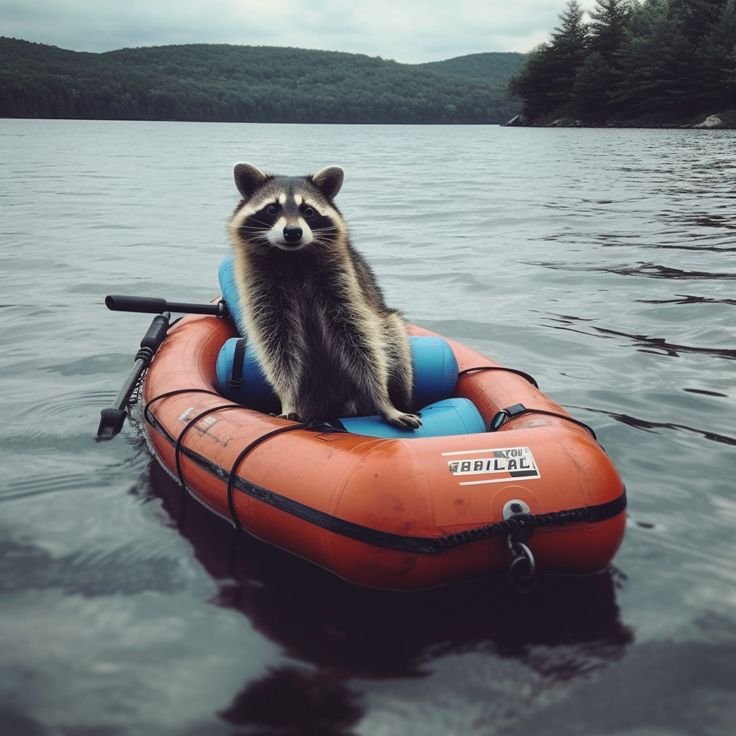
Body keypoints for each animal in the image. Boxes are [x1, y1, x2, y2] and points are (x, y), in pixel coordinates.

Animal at [228, 162, 421, 430]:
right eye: (271, 208)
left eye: (308, 210)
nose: (293, 232)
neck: (293, 258)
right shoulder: (262, 291)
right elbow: (278, 346)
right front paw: (288, 398)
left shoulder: (342, 283)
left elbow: (359, 339)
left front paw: (383, 400)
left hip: (386, 327)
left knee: (393, 336)